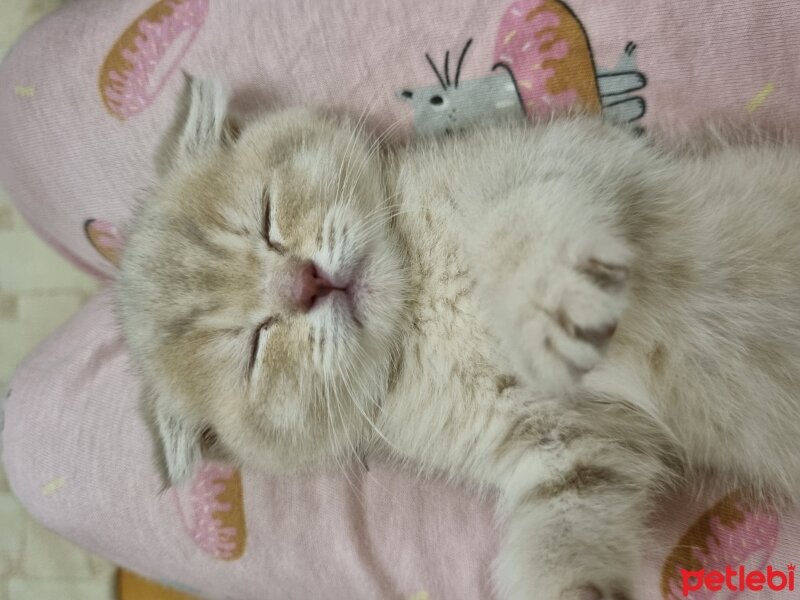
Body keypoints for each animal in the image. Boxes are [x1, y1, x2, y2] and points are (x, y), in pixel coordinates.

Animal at [117, 76, 800, 600]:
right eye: (254, 350)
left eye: (267, 215)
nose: (302, 284)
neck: (421, 298)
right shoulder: (572, 446)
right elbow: (562, 528)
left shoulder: (580, 161)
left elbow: (512, 217)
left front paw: (544, 302)